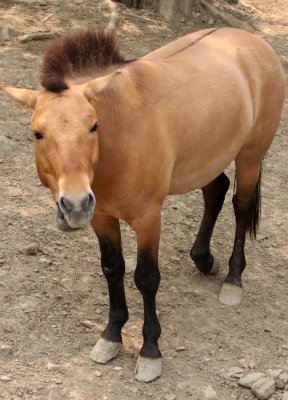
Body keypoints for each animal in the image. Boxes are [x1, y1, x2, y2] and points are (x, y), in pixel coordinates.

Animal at [1, 26, 286, 382]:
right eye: (37, 134)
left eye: (93, 126)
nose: (75, 205)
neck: (120, 137)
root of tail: (253, 41)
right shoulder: (102, 217)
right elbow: (112, 268)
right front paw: (111, 335)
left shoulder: (148, 219)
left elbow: (146, 279)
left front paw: (150, 350)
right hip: (207, 158)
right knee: (216, 191)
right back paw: (204, 259)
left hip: (250, 157)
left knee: (241, 206)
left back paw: (233, 280)